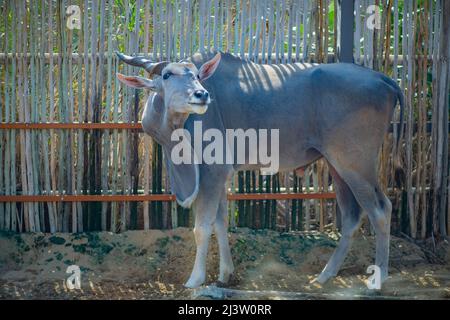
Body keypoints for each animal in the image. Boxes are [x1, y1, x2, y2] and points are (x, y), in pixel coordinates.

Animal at [116, 50, 404, 288]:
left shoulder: (213, 172)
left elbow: (202, 226)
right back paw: (325, 275)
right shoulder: (220, 176)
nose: (202, 94)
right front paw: (225, 274)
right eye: (166, 74)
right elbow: (220, 222)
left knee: (381, 210)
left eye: (197, 76)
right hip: (337, 166)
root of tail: (385, 80)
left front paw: (195, 280)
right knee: (352, 215)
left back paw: (377, 280)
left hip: (354, 165)